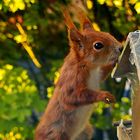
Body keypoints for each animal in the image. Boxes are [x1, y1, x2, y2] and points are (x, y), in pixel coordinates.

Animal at [35, 6, 122, 140]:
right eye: (98, 45)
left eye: (107, 34)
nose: (120, 48)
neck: (88, 66)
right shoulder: (72, 80)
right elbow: (72, 97)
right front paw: (105, 95)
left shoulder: (97, 75)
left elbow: (102, 74)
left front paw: (115, 61)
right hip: (57, 135)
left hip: (85, 132)